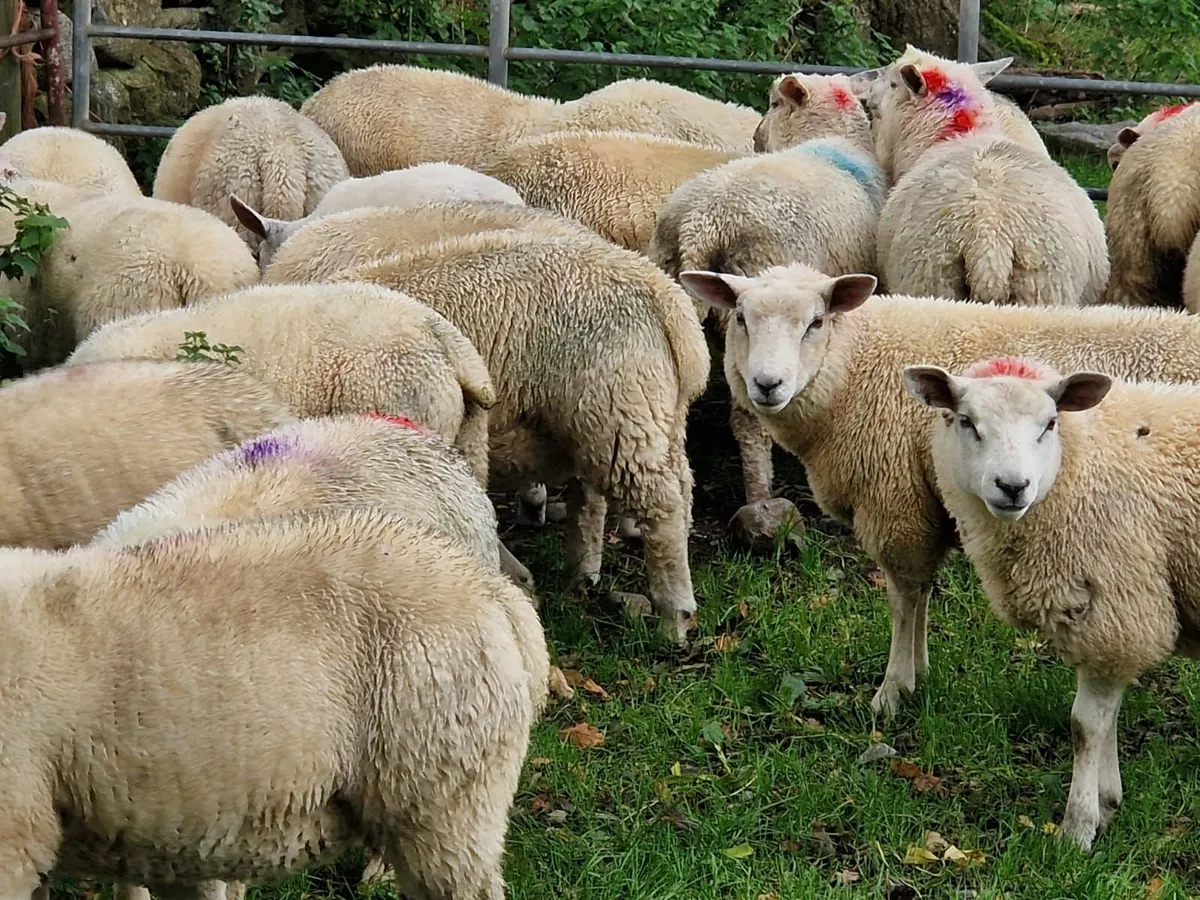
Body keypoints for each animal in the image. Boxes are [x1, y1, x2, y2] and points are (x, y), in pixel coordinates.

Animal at [327, 228, 710, 641]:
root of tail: (661, 291)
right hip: (634, 415)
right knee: (648, 490)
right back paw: (582, 574)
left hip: (618, 407)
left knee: (661, 505)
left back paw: (673, 615)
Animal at [677, 261, 1200, 715]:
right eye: (741, 318)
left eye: (816, 322)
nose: (768, 384)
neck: (855, 364)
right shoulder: (927, 504)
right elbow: (924, 592)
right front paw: (921, 672)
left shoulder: (896, 502)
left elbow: (904, 599)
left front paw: (894, 689)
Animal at [903, 357, 1200, 851]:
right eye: (966, 422)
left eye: (1050, 424)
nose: (1013, 486)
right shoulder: (1111, 626)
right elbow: (1107, 719)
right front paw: (1107, 802)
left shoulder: (1115, 612)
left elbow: (1085, 727)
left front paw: (1077, 829)